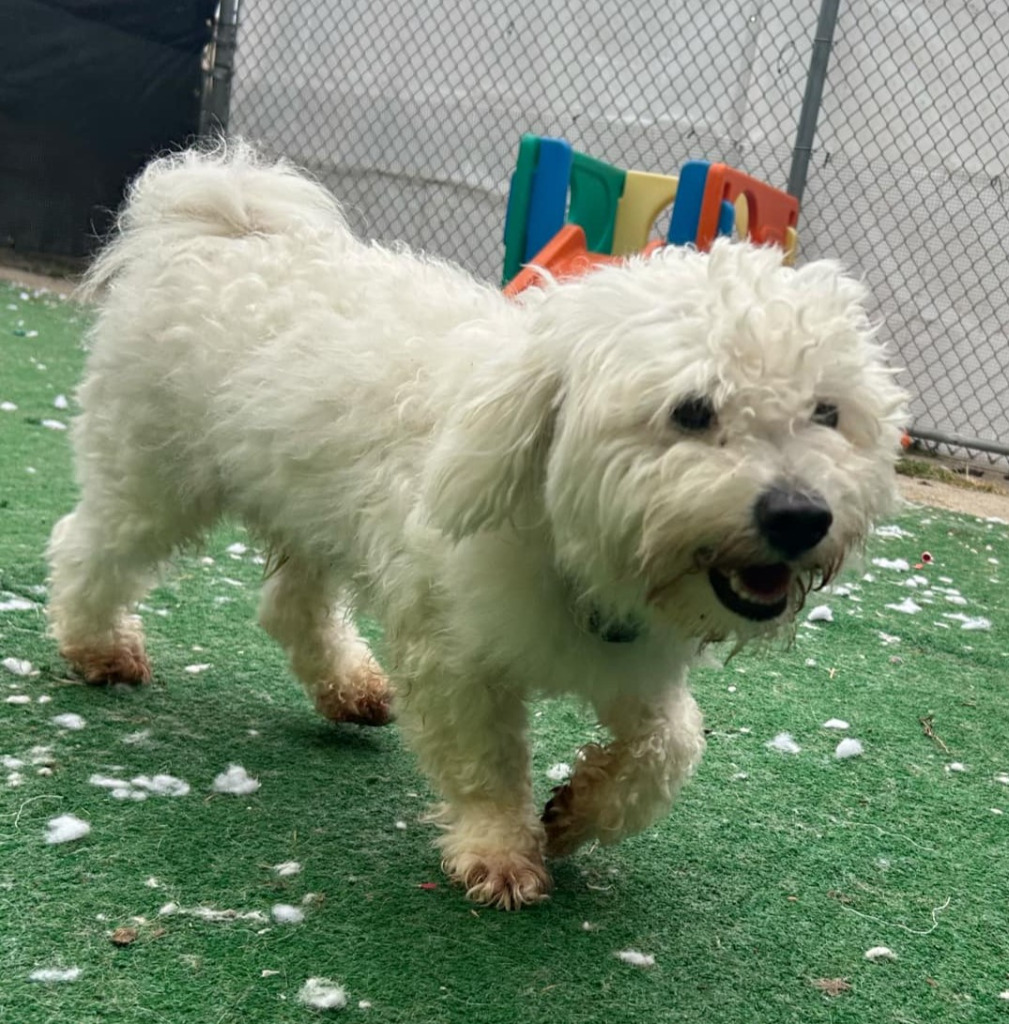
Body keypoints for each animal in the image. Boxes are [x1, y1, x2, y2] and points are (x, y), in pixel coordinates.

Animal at [49, 144, 905, 905]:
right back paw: (99, 647)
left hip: (309, 504)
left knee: (291, 606)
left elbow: (670, 747)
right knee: (89, 547)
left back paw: (350, 687)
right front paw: (499, 851)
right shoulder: (452, 653)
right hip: (153, 473)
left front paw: (576, 814)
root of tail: (221, 222)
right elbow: (482, 761)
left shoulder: (637, 666)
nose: (800, 515)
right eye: (692, 411)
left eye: (826, 412)